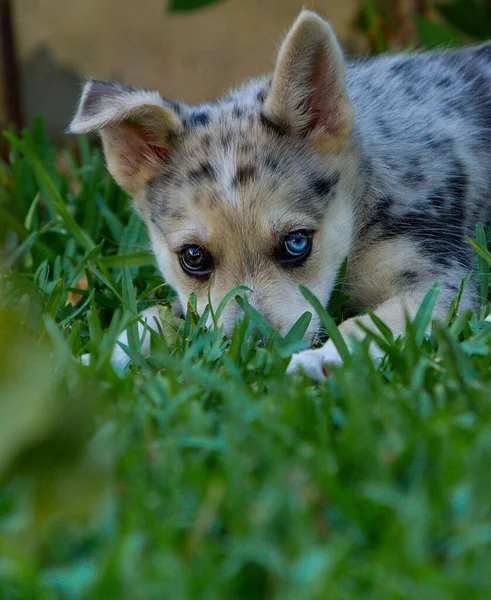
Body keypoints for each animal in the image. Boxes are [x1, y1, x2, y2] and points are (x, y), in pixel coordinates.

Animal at [69, 10, 491, 380]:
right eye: (193, 257)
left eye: (296, 243)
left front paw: (321, 360)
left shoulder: (438, 281)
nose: (252, 354)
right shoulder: (193, 304)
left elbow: (368, 326)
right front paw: (87, 362)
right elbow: (149, 321)